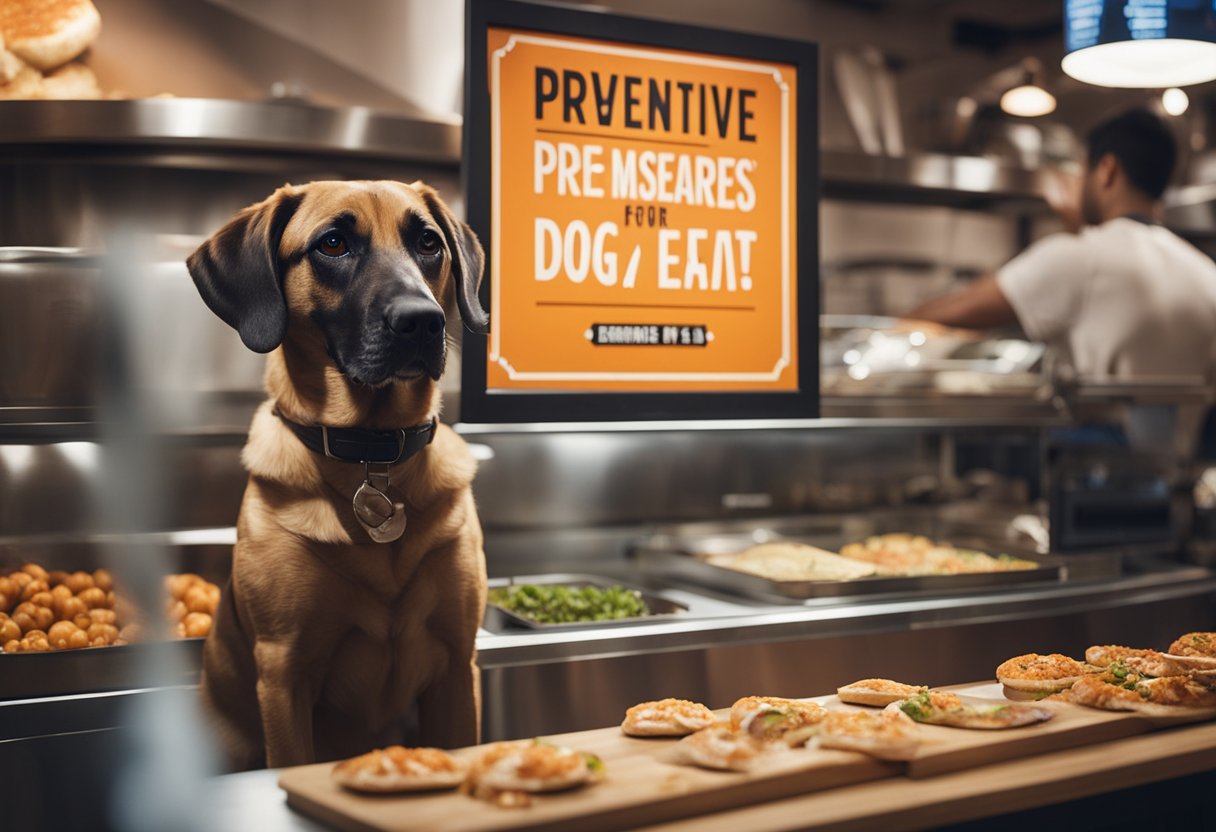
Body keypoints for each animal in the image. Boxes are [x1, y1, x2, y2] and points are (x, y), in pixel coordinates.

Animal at [186, 178, 488, 768]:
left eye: (429, 242)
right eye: (332, 244)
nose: (423, 320)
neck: (371, 452)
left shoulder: (457, 672)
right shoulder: (284, 678)